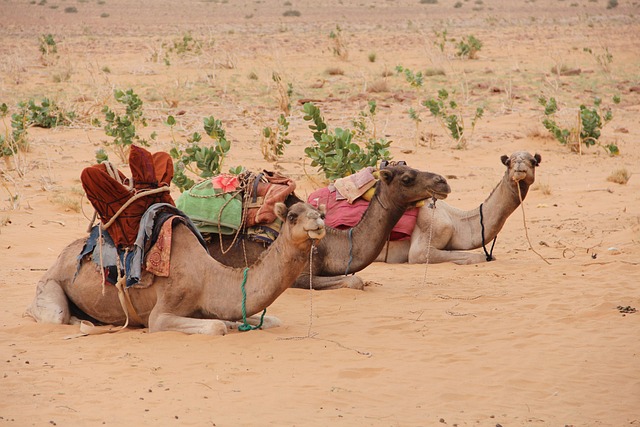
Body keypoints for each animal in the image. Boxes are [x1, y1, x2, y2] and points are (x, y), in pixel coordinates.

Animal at [25, 202, 326, 335]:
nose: (318, 221)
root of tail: (58, 259)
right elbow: (216, 327)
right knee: (55, 316)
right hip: (50, 283)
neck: (208, 278)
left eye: (320, 211)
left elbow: (269, 319)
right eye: (292, 216)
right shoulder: (161, 313)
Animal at [375, 151, 541, 265]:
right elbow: (476, 257)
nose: (519, 167)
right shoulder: (430, 234)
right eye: (508, 162)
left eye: (533, 161)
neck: (456, 220)